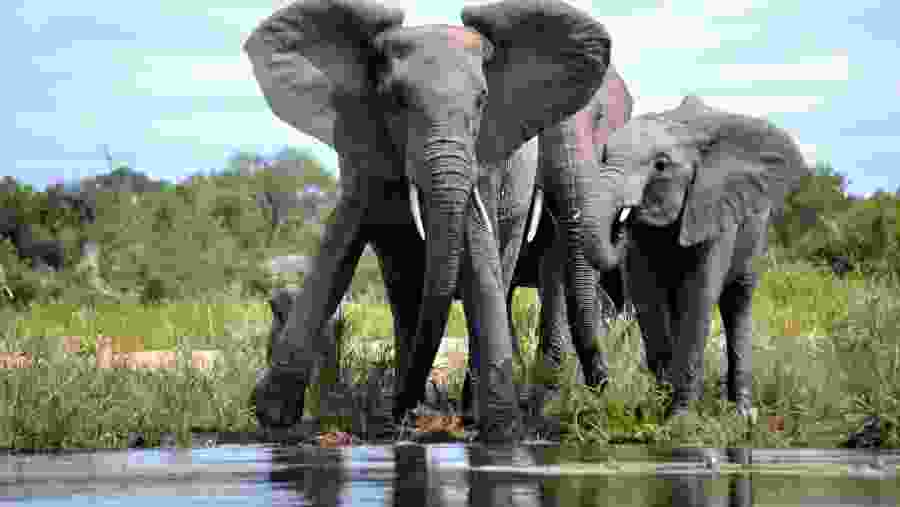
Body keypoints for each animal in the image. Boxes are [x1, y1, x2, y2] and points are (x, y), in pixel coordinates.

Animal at [244, 0, 613, 441]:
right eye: (395, 100)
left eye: (482, 101)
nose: (404, 404)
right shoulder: (361, 145)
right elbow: (339, 245)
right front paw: (272, 415)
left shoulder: (482, 160)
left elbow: (478, 250)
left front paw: (502, 430)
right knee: (404, 291)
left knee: (499, 268)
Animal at [560, 94, 808, 418]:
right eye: (603, 156)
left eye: (661, 165)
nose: (619, 223)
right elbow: (647, 294)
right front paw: (657, 409)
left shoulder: (713, 205)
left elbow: (699, 293)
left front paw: (679, 419)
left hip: (757, 226)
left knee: (737, 300)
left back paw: (742, 414)